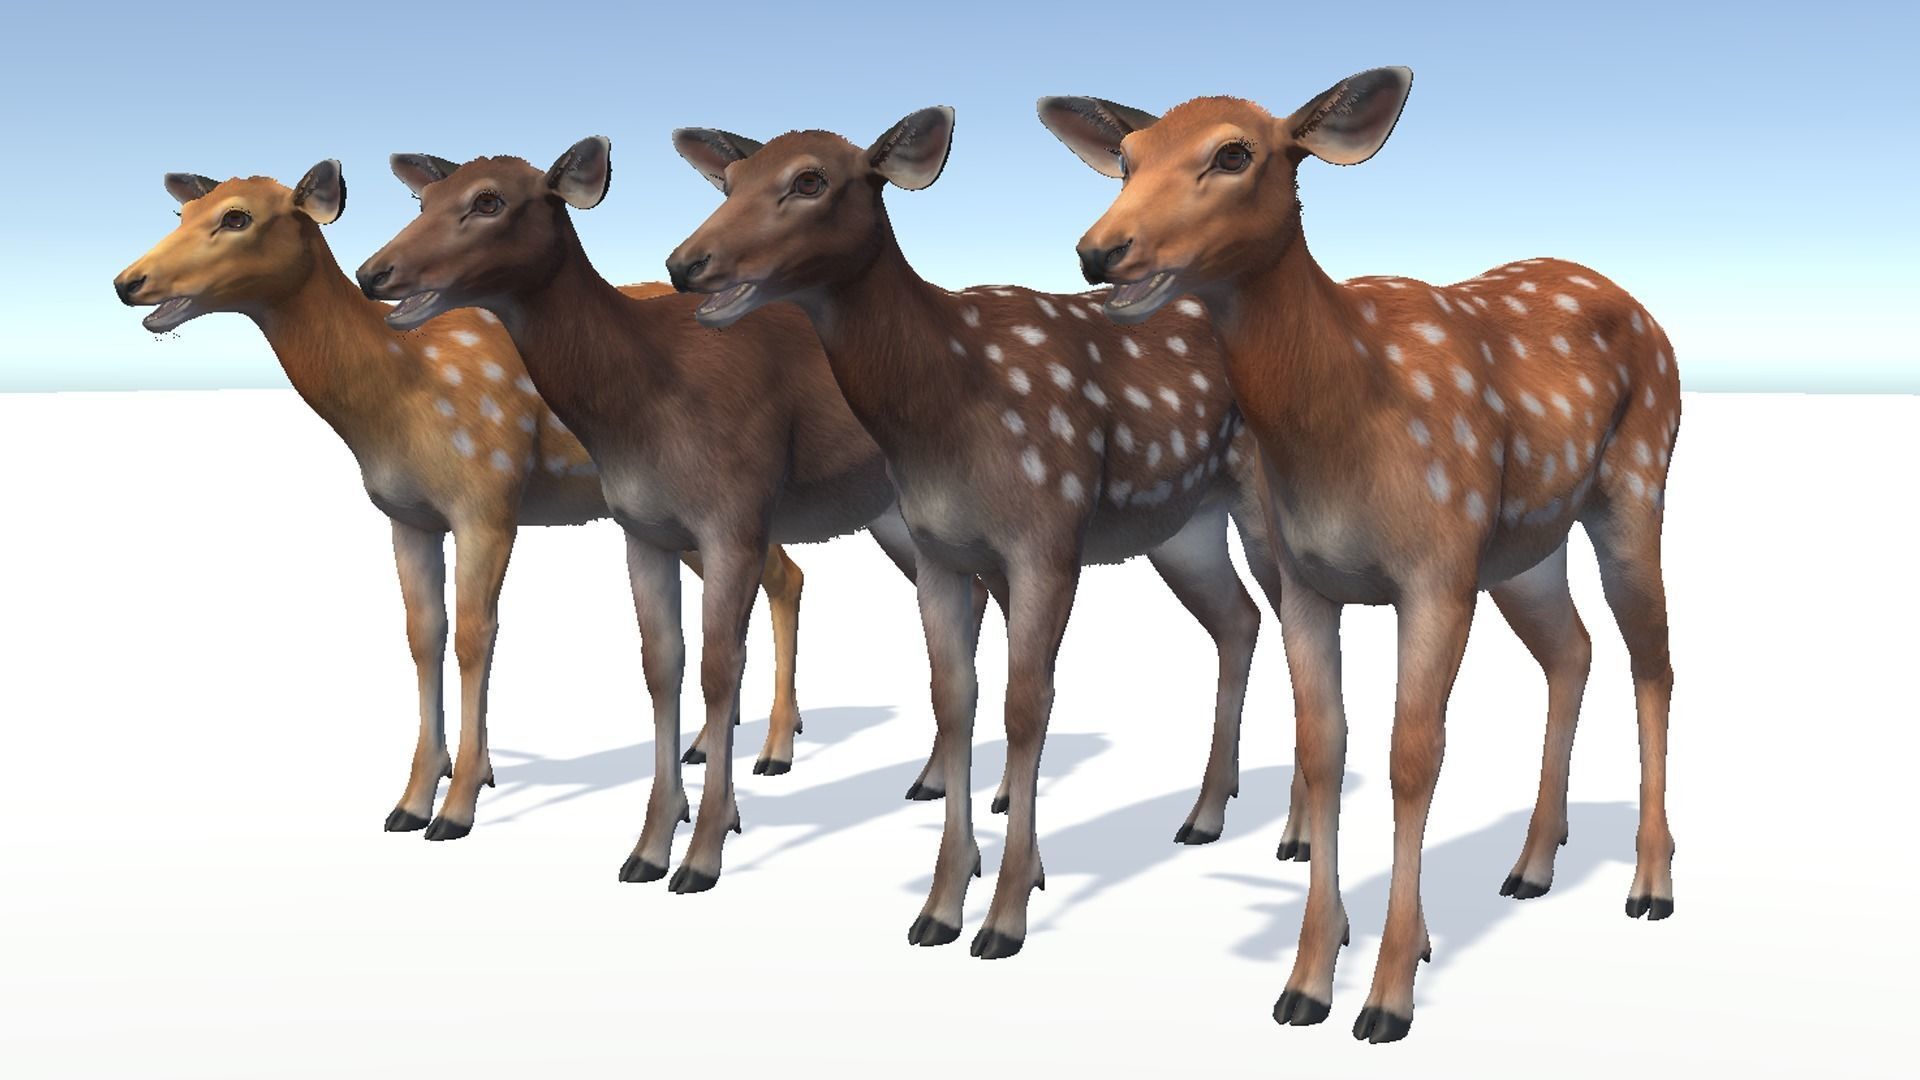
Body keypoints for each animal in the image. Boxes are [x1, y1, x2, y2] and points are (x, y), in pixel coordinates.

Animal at [111, 162, 818, 845]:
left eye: (237, 217)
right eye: (183, 211)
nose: (128, 281)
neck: (401, 395)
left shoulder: (488, 498)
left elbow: (477, 634)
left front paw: (458, 803)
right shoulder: (407, 516)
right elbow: (423, 633)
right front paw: (411, 798)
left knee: (783, 574)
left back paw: (775, 749)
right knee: (784, 573)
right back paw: (715, 745)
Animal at [353, 137, 998, 893]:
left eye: (489, 200)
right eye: (423, 198)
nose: (374, 272)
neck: (651, 395)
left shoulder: (735, 515)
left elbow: (719, 667)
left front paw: (704, 852)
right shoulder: (642, 527)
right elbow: (662, 666)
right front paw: (649, 847)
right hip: (892, 515)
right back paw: (931, 778)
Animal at [1041, 66, 1681, 1042]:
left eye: (1236, 152)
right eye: (1126, 156)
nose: (1100, 252)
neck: (1351, 414)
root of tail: (1643, 310)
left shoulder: (1437, 570)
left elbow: (1412, 756)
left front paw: (1387, 994)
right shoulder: (1309, 579)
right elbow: (1323, 749)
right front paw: (1307, 981)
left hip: (1635, 484)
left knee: (1654, 657)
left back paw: (1650, 883)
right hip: (1523, 546)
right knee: (1572, 649)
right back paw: (1532, 864)